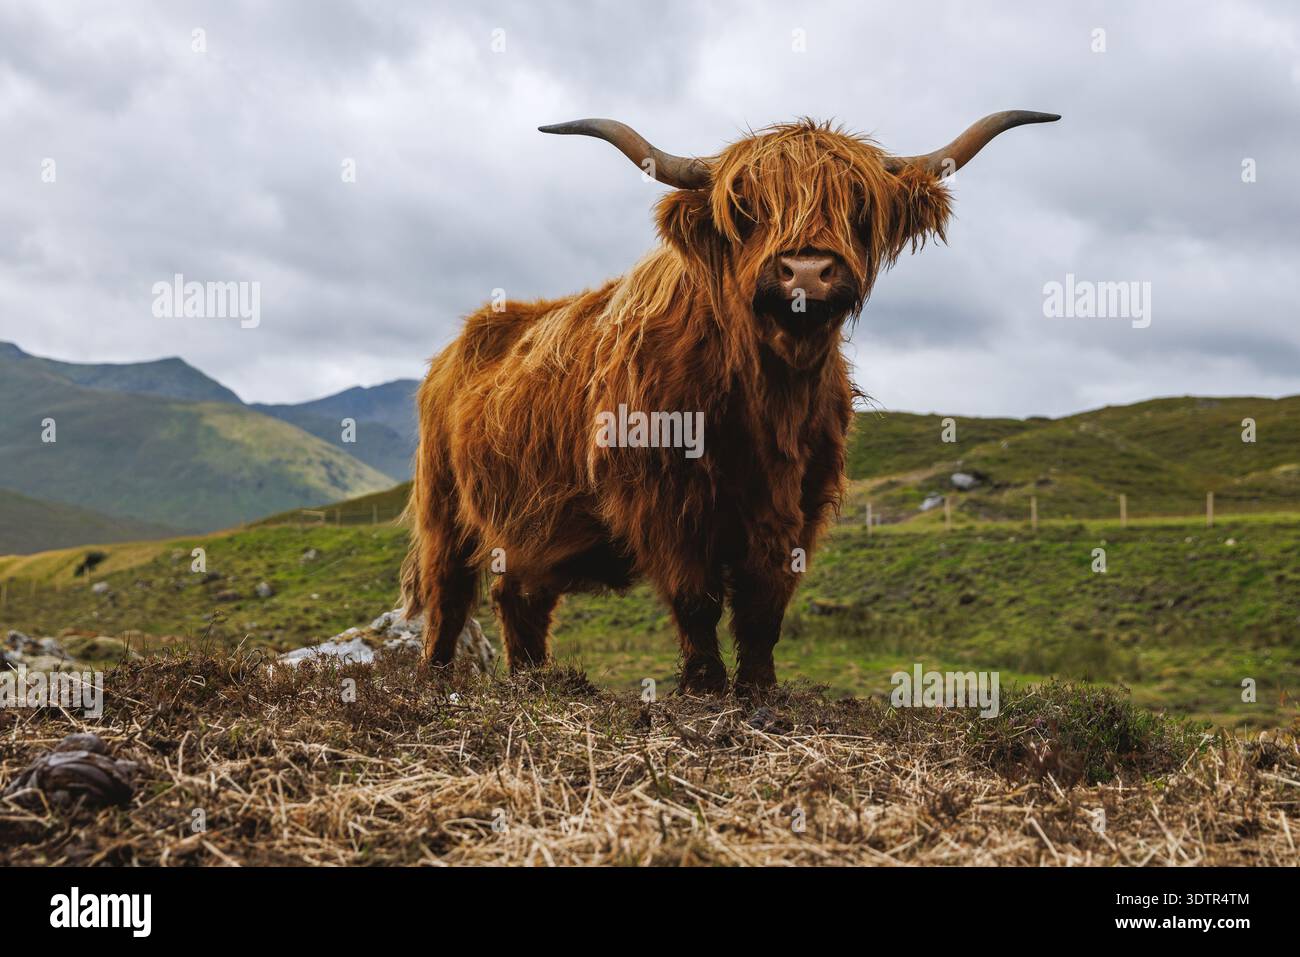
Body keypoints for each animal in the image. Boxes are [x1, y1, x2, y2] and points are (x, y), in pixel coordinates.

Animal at [402, 110, 1058, 694]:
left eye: (859, 207)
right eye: (748, 209)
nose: (806, 271)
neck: (766, 401)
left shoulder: (801, 501)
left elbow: (765, 602)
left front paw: (761, 687)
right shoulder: (662, 496)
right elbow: (695, 596)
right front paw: (705, 685)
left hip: (529, 525)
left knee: (519, 594)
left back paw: (534, 681)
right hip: (443, 503)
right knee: (449, 593)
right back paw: (436, 679)